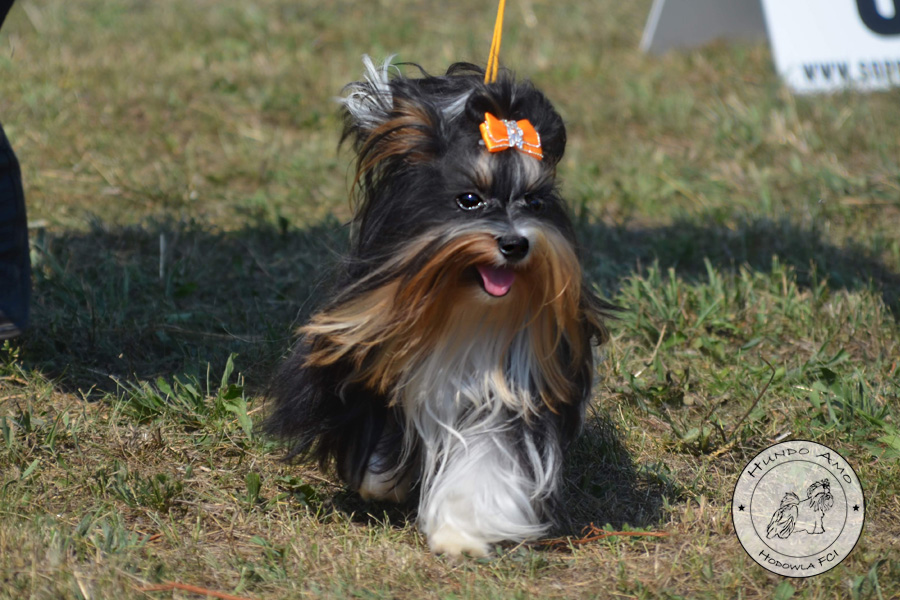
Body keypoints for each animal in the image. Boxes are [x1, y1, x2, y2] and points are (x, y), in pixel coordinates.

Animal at [265, 56, 613, 556]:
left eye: (534, 201)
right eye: (469, 200)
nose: (515, 244)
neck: (462, 305)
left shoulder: (507, 389)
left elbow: (487, 459)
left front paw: (461, 535)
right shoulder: (364, 358)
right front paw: (381, 480)